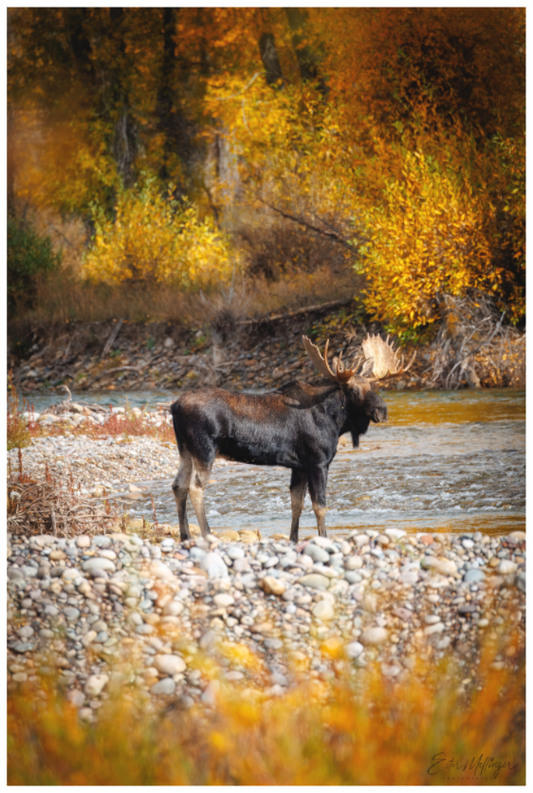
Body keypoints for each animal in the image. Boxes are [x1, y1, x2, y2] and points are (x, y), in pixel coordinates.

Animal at [170, 333, 415, 542]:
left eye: (371, 385)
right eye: (353, 390)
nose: (382, 411)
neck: (336, 420)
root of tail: (174, 406)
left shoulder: (299, 466)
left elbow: (296, 504)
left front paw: (294, 539)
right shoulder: (318, 462)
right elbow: (320, 505)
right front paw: (324, 538)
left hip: (185, 451)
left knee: (178, 485)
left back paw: (185, 536)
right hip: (205, 450)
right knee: (195, 487)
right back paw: (206, 533)